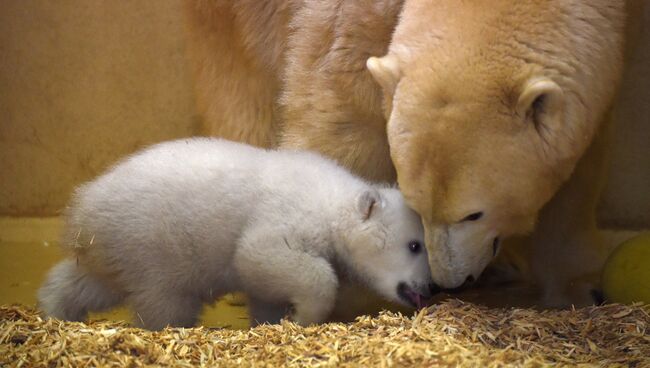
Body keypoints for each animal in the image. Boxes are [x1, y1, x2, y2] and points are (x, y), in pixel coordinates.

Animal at [182, 0, 636, 304]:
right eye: (416, 204)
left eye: (474, 214)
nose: (450, 281)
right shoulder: (354, 23)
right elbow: (341, 118)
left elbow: (578, 168)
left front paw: (578, 289)